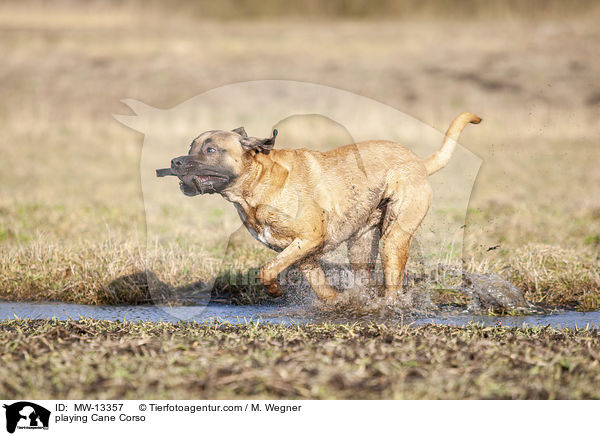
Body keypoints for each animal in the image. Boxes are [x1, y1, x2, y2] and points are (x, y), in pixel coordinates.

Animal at [162, 112, 480, 300]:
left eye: (211, 149)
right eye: (190, 147)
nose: (175, 162)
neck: (258, 183)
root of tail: (419, 163)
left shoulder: (309, 238)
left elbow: (266, 271)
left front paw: (275, 291)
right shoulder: (303, 255)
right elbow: (321, 290)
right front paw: (336, 302)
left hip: (394, 238)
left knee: (392, 283)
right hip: (361, 246)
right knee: (366, 278)